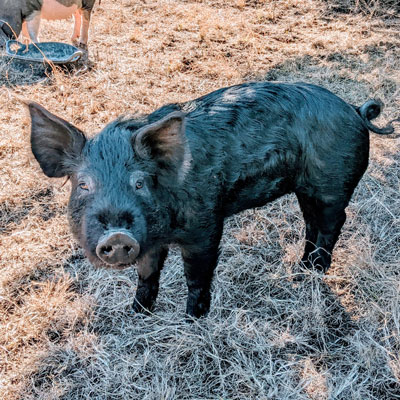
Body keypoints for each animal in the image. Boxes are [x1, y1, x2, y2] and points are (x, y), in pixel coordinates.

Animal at [28, 82, 396, 318]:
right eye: (84, 184)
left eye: (139, 183)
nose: (117, 236)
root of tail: (356, 111)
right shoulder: (150, 239)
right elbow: (147, 273)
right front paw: (136, 314)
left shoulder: (205, 224)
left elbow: (196, 273)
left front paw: (193, 319)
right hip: (306, 189)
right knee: (311, 223)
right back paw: (300, 271)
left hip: (334, 184)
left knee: (334, 223)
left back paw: (315, 273)